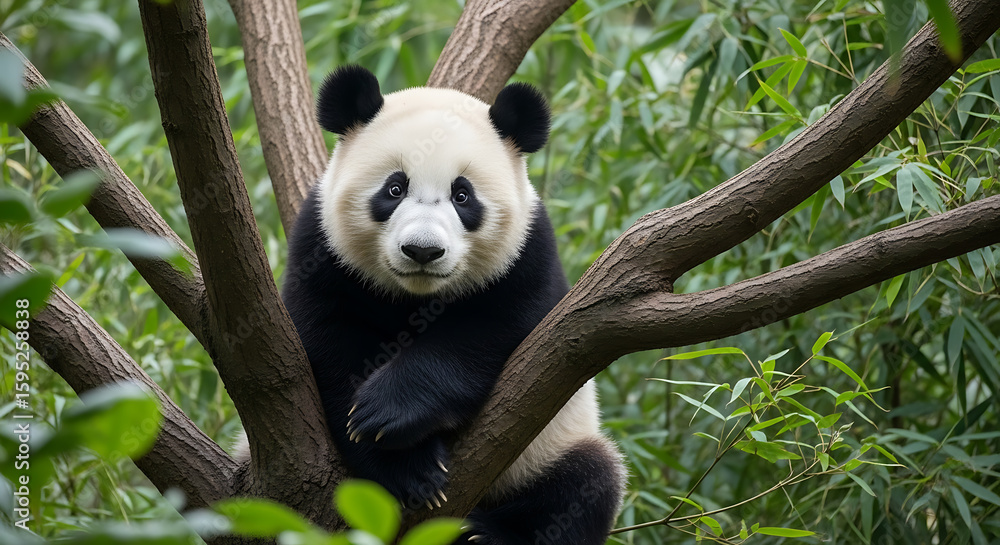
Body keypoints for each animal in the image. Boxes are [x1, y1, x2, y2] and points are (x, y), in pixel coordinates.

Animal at [269, 65, 625, 544]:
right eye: (394, 188)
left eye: (462, 195)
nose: (422, 250)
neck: (416, 295)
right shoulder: (323, 249)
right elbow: (332, 343)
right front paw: (406, 465)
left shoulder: (528, 255)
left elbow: (490, 333)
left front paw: (388, 412)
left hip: (553, 444)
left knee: (584, 485)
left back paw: (486, 534)